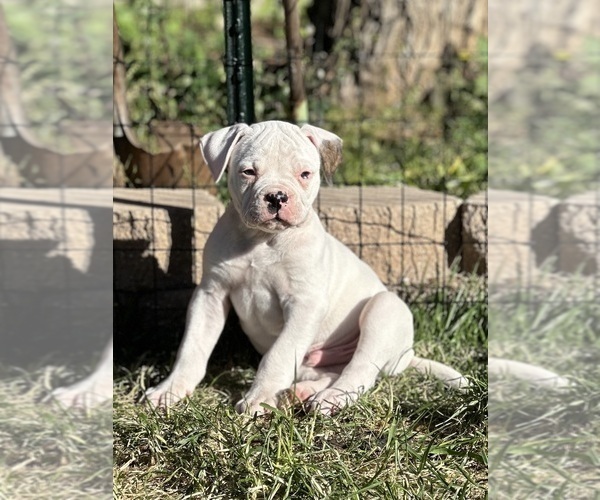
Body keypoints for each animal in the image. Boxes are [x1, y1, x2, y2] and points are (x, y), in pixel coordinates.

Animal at [146, 120, 468, 414]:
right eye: (248, 172)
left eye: (304, 174)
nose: (276, 196)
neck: (262, 240)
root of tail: (405, 356)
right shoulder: (211, 294)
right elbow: (192, 347)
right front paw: (169, 390)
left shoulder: (303, 303)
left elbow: (277, 355)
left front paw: (259, 399)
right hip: (311, 361)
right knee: (329, 371)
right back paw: (300, 392)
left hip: (384, 311)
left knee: (361, 370)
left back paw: (332, 398)